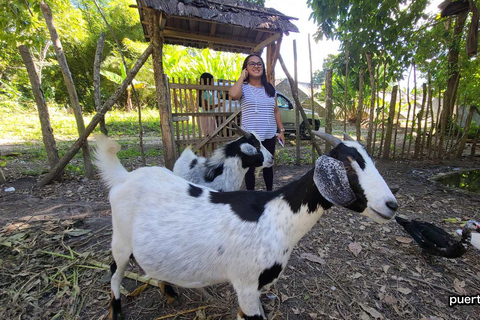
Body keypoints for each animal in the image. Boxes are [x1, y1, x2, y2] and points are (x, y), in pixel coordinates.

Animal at [94, 132, 398, 320]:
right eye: (347, 168)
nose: (392, 205)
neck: (277, 215)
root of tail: (123, 177)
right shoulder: (247, 283)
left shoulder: (256, 287)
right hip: (120, 239)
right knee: (114, 270)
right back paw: (116, 309)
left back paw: (168, 291)